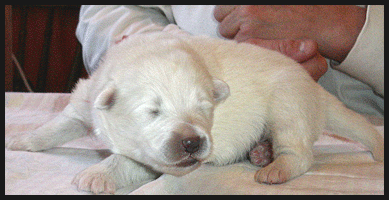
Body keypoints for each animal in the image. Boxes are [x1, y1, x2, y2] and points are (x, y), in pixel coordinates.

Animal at [5, 32, 382, 194]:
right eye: (153, 111)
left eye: (204, 109)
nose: (192, 142)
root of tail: (317, 91)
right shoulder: (89, 96)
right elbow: (61, 122)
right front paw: (23, 140)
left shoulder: (159, 160)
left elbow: (127, 160)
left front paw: (97, 174)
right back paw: (261, 152)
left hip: (288, 104)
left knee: (300, 152)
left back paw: (275, 167)